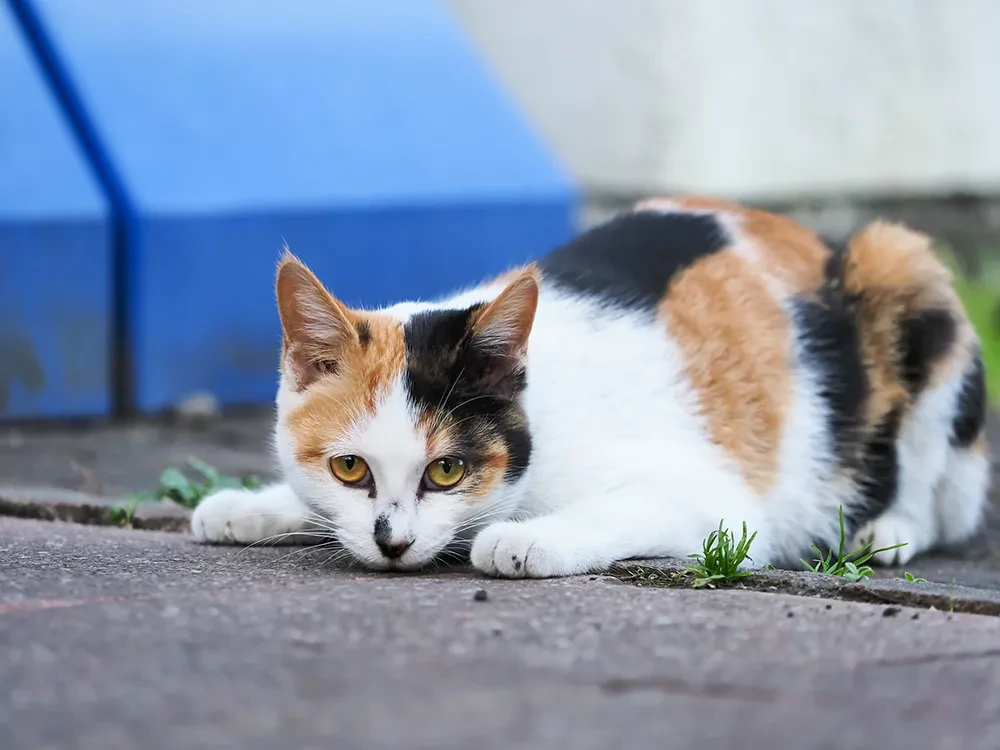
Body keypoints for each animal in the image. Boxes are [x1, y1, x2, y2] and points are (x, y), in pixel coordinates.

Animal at [191, 197, 988, 580]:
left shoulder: (719, 502)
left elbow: (624, 509)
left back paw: (884, 532)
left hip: (902, 266)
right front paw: (251, 505)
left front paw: (525, 539)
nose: (394, 543)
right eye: (349, 468)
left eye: (447, 470)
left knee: (939, 497)